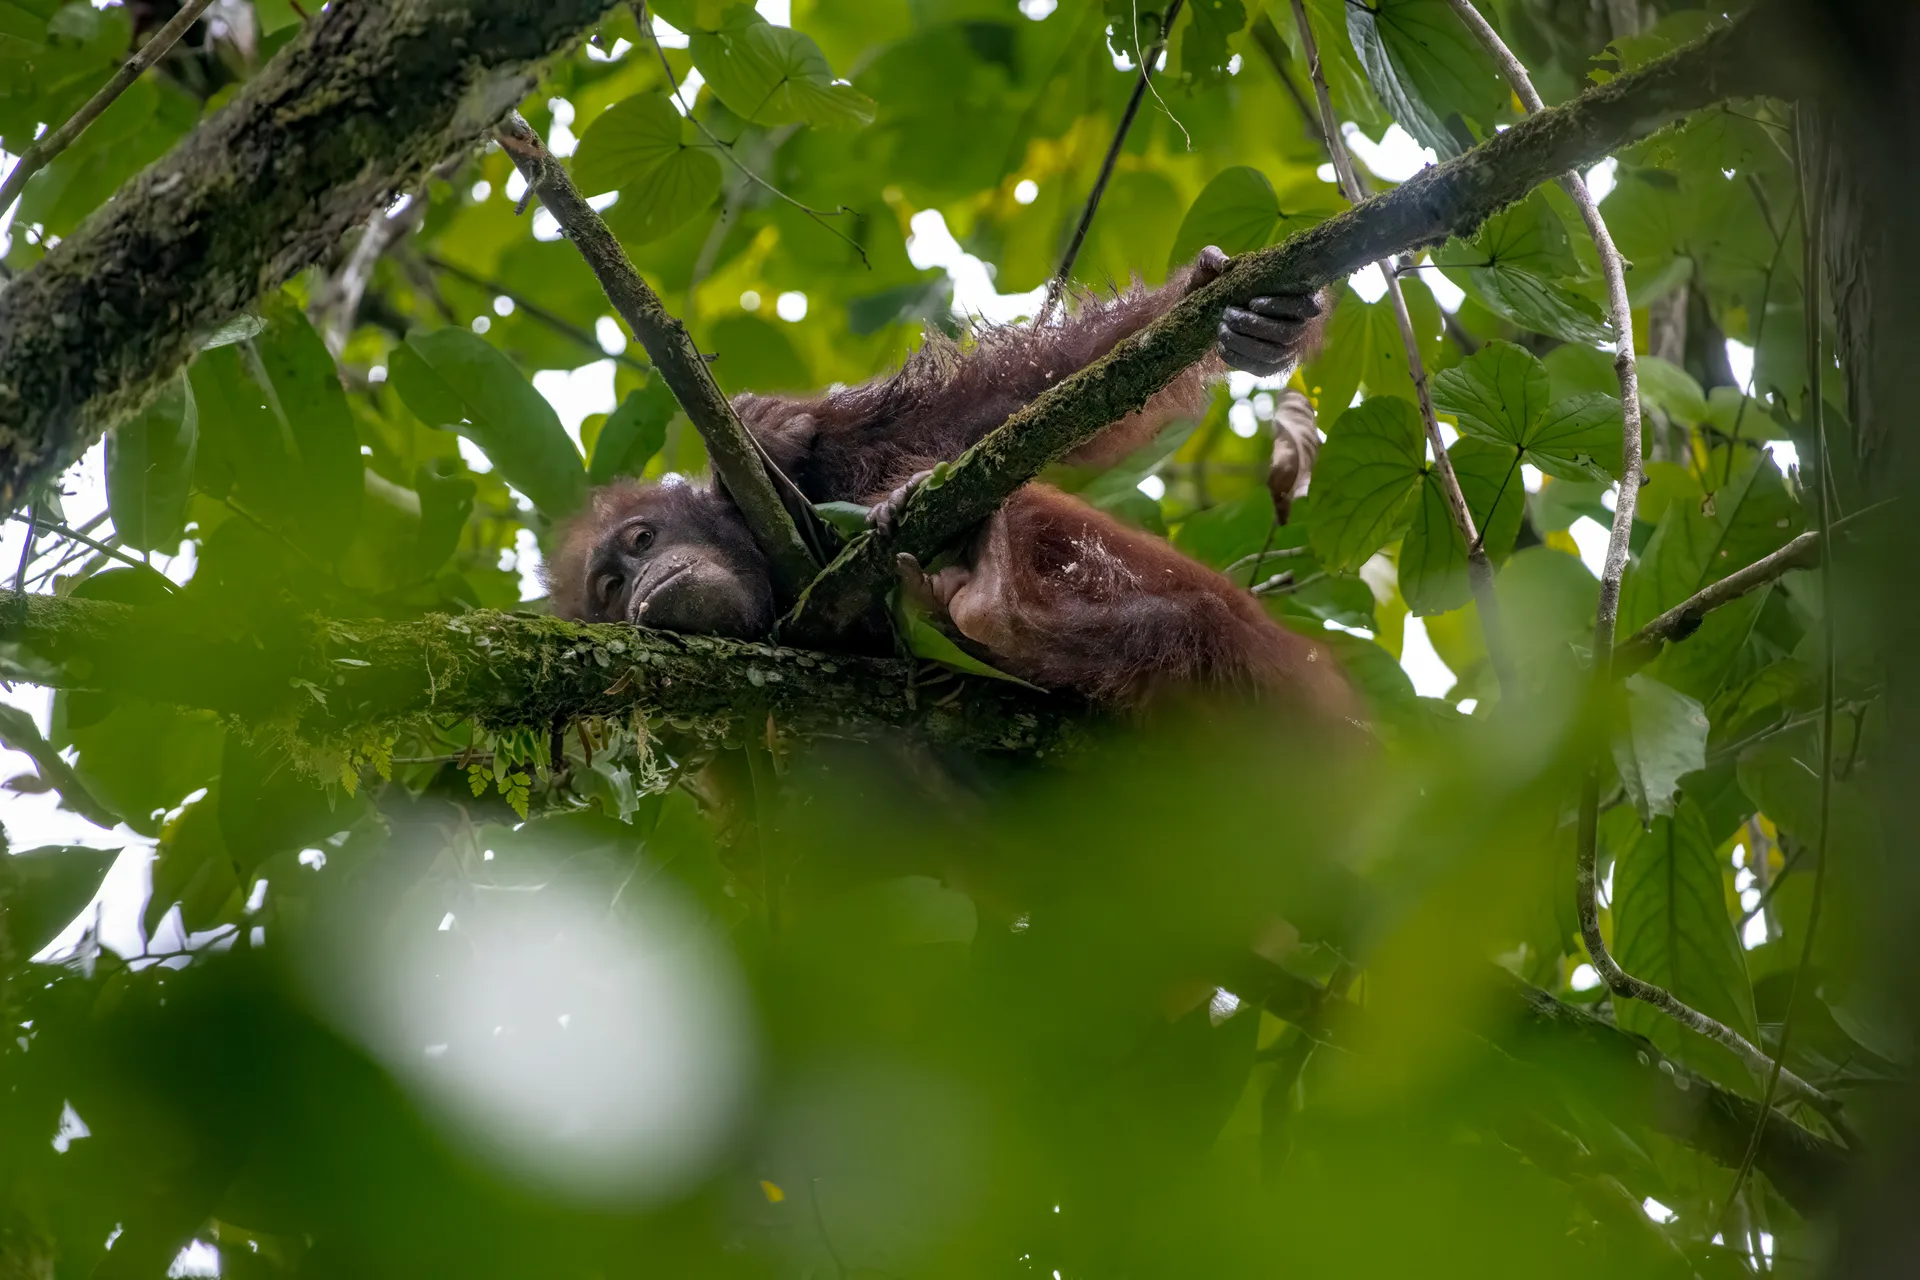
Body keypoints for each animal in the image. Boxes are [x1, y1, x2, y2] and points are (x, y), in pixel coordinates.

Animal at [547, 248, 1353, 718]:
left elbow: (1013, 400)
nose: (644, 577)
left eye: (643, 539)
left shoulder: (835, 451)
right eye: (610, 589)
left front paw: (1239, 307)